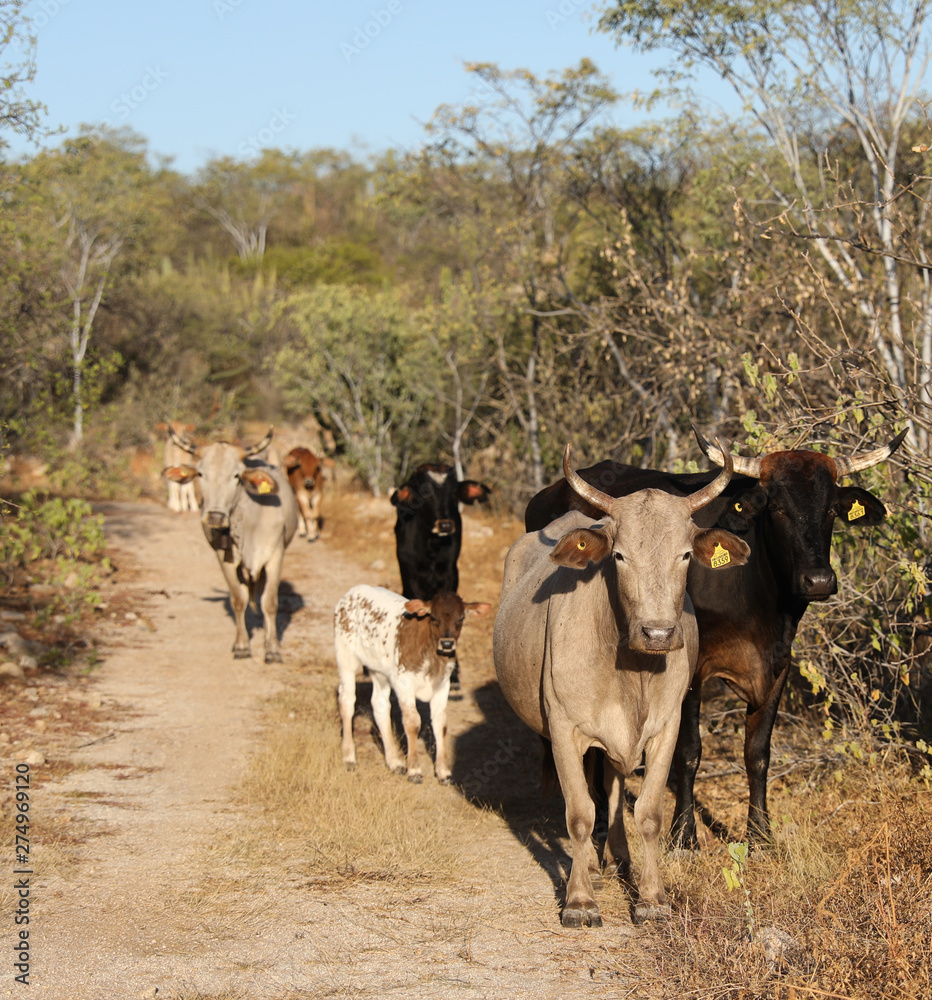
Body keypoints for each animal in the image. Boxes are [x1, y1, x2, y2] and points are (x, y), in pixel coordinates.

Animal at [164, 424, 298, 664]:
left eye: (236, 475)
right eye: (201, 474)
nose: (216, 517)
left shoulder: (275, 555)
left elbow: (270, 602)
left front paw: (273, 648)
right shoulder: (224, 558)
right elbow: (238, 600)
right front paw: (242, 645)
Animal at [336, 584, 496, 780]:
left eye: (461, 618)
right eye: (433, 617)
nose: (447, 643)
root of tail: (354, 590)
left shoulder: (443, 684)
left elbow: (440, 723)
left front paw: (443, 771)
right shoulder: (403, 682)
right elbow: (413, 722)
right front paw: (414, 769)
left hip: (379, 670)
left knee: (380, 705)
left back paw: (394, 761)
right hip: (346, 658)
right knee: (347, 702)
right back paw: (349, 757)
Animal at [496, 446, 748, 928]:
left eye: (685, 555)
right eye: (619, 556)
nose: (658, 633)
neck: (633, 672)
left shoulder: (667, 728)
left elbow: (646, 812)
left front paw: (651, 898)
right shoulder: (564, 728)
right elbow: (579, 812)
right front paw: (579, 901)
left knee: (612, 790)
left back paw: (619, 858)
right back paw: (595, 868)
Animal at [524, 426, 912, 848]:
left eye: (830, 510)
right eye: (778, 509)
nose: (819, 580)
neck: (760, 600)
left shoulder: (777, 667)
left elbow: (758, 753)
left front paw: (760, 834)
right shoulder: (690, 670)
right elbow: (689, 751)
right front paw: (684, 833)